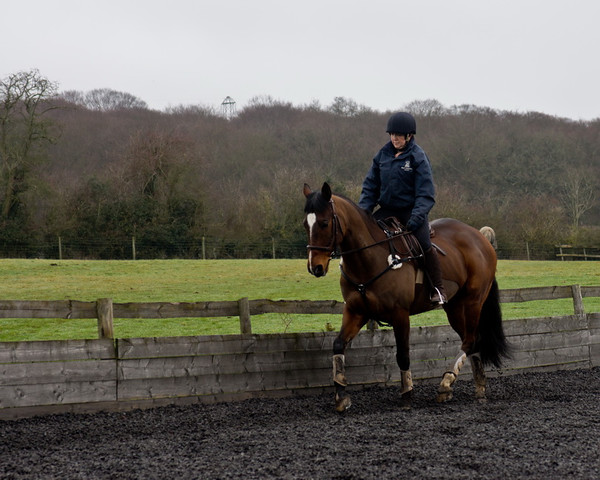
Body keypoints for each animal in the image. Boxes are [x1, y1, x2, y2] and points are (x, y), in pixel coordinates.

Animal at [302, 184, 508, 412]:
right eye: (305, 224)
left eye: (324, 223)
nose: (315, 267)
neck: (368, 259)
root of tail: (481, 239)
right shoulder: (355, 311)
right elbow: (338, 345)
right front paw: (341, 395)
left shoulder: (399, 313)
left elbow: (402, 354)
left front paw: (407, 394)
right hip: (454, 308)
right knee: (471, 341)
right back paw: (477, 389)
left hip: (472, 302)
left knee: (470, 340)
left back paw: (446, 383)